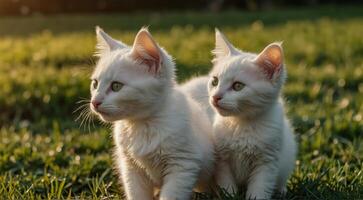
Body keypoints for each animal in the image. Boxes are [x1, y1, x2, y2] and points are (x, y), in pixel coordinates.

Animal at [90, 27, 215, 200]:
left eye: (116, 86)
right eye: (95, 84)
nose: (95, 102)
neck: (142, 125)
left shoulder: (183, 165)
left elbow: (171, 195)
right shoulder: (131, 167)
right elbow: (137, 194)